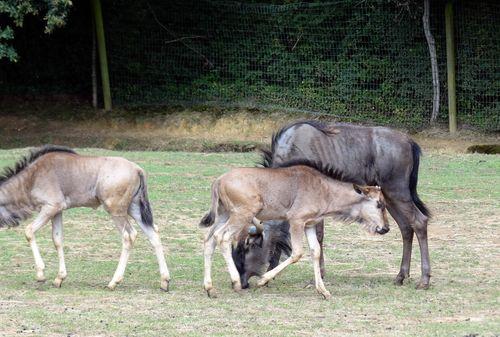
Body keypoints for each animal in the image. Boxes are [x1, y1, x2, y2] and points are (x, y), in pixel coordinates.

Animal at [0, 144, 170, 288]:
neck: (32, 177)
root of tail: (137, 169)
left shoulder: (50, 207)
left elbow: (29, 231)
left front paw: (41, 274)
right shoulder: (58, 211)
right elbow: (57, 240)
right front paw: (59, 278)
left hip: (116, 210)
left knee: (129, 235)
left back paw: (113, 282)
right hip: (134, 209)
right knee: (153, 233)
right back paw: (165, 281)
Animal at [200, 161, 390, 300]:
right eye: (379, 204)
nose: (385, 228)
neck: (324, 189)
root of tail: (219, 180)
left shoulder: (309, 224)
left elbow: (315, 251)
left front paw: (323, 291)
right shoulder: (296, 221)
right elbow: (297, 253)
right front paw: (263, 280)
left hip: (224, 215)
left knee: (209, 240)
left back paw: (210, 288)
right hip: (242, 215)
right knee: (222, 237)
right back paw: (236, 283)